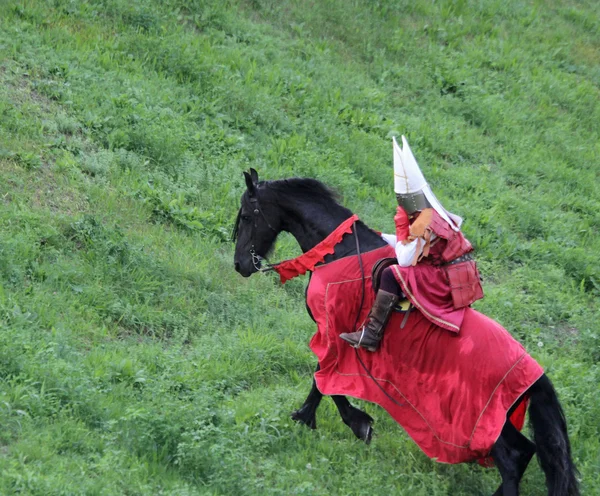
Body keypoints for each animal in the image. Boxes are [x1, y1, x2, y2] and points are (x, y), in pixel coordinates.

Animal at [232, 170, 580, 496]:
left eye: (247, 216)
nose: (240, 265)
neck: (340, 251)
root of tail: (535, 375)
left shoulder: (333, 332)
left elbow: (326, 380)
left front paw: (354, 424)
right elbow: (322, 380)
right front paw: (307, 417)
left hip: (490, 425)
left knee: (513, 460)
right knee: (524, 453)